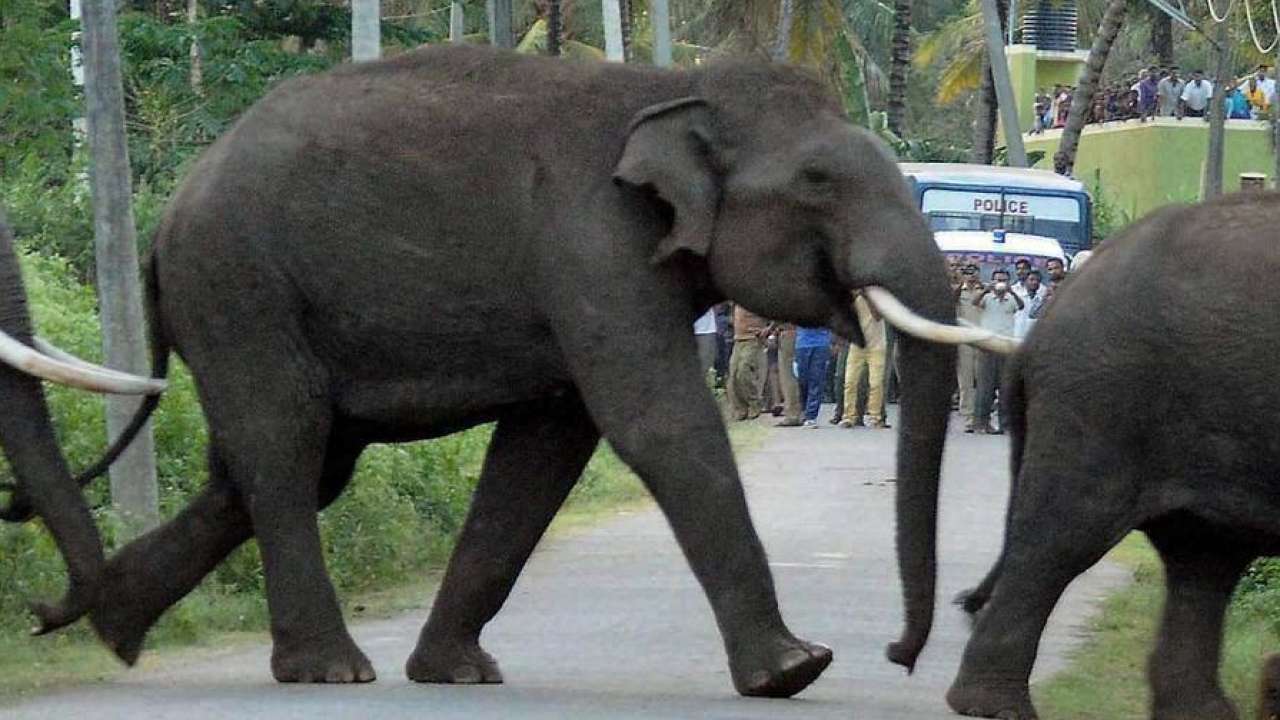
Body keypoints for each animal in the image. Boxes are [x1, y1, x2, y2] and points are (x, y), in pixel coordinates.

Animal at [43, 44, 1003, 694]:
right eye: (816, 182)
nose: (901, 654)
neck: (665, 89)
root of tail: (167, 219)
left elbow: (546, 447)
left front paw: (457, 673)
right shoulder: (593, 247)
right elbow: (655, 421)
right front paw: (795, 670)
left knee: (282, 465)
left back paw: (101, 622)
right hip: (239, 285)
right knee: (285, 447)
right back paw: (327, 670)